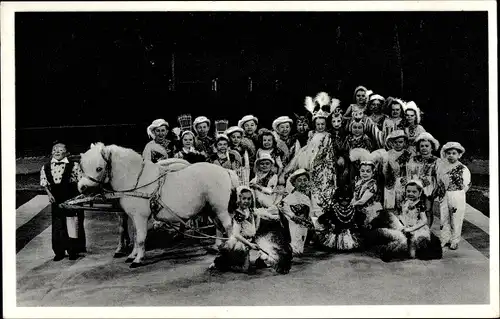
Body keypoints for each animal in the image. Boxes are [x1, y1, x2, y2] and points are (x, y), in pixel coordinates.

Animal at [79, 142, 239, 268]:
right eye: (82, 167)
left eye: (99, 168)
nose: (82, 188)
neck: (136, 181)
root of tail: (225, 171)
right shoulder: (134, 217)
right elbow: (136, 236)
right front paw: (132, 255)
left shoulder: (141, 217)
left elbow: (141, 238)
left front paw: (138, 260)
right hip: (211, 209)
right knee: (218, 226)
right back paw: (216, 246)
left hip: (220, 209)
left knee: (228, 226)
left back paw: (229, 246)